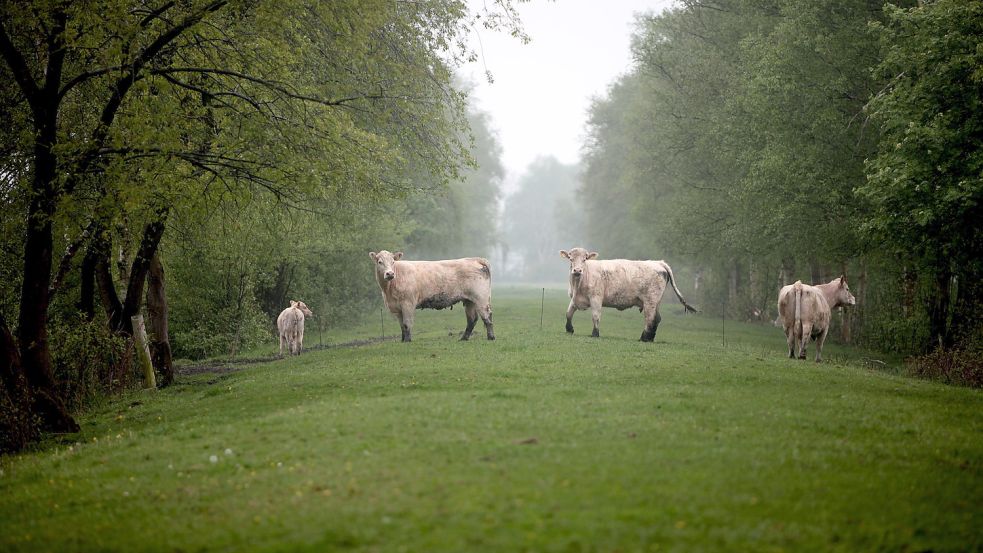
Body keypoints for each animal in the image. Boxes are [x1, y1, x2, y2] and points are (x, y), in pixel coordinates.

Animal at [368, 250, 496, 340]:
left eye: (393, 262)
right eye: (380, 262)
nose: (390, 273)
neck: (388, 290)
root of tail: (474, 259)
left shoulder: (408, 304)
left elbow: (407, 324)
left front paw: (408, 341)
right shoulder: (397, 308)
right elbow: (402, 326)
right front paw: (403, 341)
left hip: (481, 298)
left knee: (487, 315)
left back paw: (491, 337)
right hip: (469, 300)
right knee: (472, 319)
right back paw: (463, 338)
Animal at [560, 247, 700, 340]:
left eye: (584, 259)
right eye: (571, 259)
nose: (577, 270)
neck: (578, 284)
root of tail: (658, 262)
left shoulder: (596, 298)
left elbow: (595, 316)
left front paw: (595, 334)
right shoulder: (574, 298)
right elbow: (568, 313)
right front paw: (569, 329)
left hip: (650, 300)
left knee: (650, 318)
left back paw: (644, 338)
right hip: (656, 301)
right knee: (657, 318)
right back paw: (650, 338)